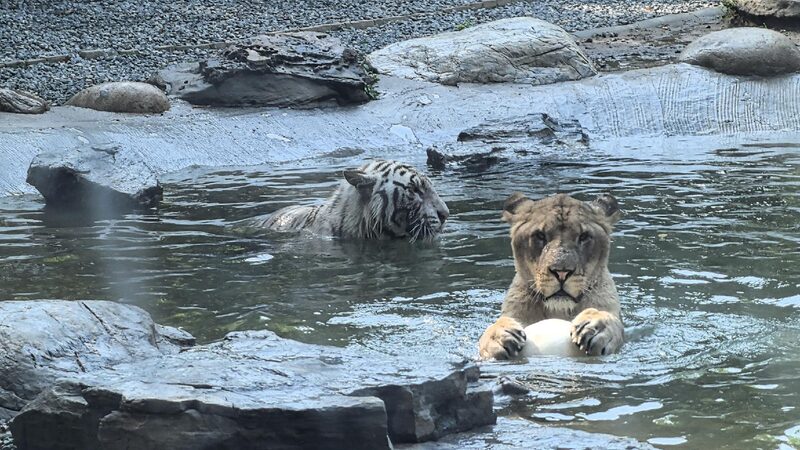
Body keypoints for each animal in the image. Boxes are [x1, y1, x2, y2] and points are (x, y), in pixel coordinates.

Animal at [478, 192, 623, 359]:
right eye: (540, 236)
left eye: (584, 236)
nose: (561, 272)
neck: (559, 311)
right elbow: (493, 327)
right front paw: (500, 336)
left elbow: (608, 318)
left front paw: (595, 327)